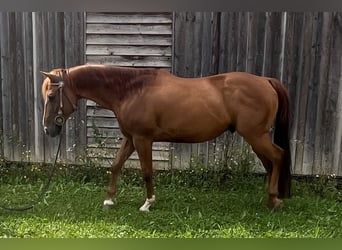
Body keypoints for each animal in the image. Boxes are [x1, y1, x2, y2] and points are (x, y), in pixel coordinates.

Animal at [40, 64, 292, 211]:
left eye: (51, 96)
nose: (48, 129)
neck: (131, 90)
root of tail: (266, 80)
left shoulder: (143, 139)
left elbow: (147, 171)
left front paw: (148, 203)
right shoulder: (130, 138)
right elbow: (115, 165)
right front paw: (109, 199)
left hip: (256, 136)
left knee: (278, 157)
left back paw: (273, 199)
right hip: (256, 138)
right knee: (270, 163)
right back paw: (273, 199)